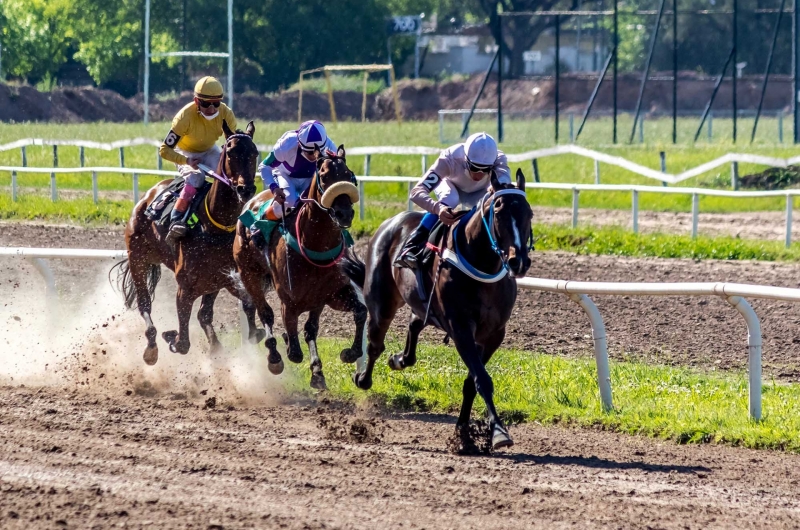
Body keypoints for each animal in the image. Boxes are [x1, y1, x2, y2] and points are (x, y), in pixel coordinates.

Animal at [111, 121, 260, 366]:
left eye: (255, 153)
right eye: (230, 152)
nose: (245, 189)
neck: (215, 226)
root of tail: (147, 197)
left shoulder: (224, 278)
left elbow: (245, 304)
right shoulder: (185, 287)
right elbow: (182, 343)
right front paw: (171, 337)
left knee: (202, 314)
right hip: (138, 259)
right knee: (144, 304)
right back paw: (151, 347)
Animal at [233, 144, 368, 388]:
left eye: (349, 175)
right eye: (323, 176)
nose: (345, 213)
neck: (316, 244)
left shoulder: (330, 294)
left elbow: (358, 312)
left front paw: (347, 355)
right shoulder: (290, 300)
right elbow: (294, 348)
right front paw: (286, 346)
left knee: (308, 328)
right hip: (249, 274)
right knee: (265, 312)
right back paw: (274, 357)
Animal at [342, 170, 536, 450]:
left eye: (528, 213)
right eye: (498, 211)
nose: (518, 261)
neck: (482, 265)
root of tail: (391, 221)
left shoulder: (494, 333)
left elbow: (471, 382)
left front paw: (464, 433)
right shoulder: (460, 328)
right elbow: (482, 380)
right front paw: (499, 432)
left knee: (414, 323)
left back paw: (399, 359)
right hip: (382, 303)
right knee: (376, 343)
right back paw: (363, 378)